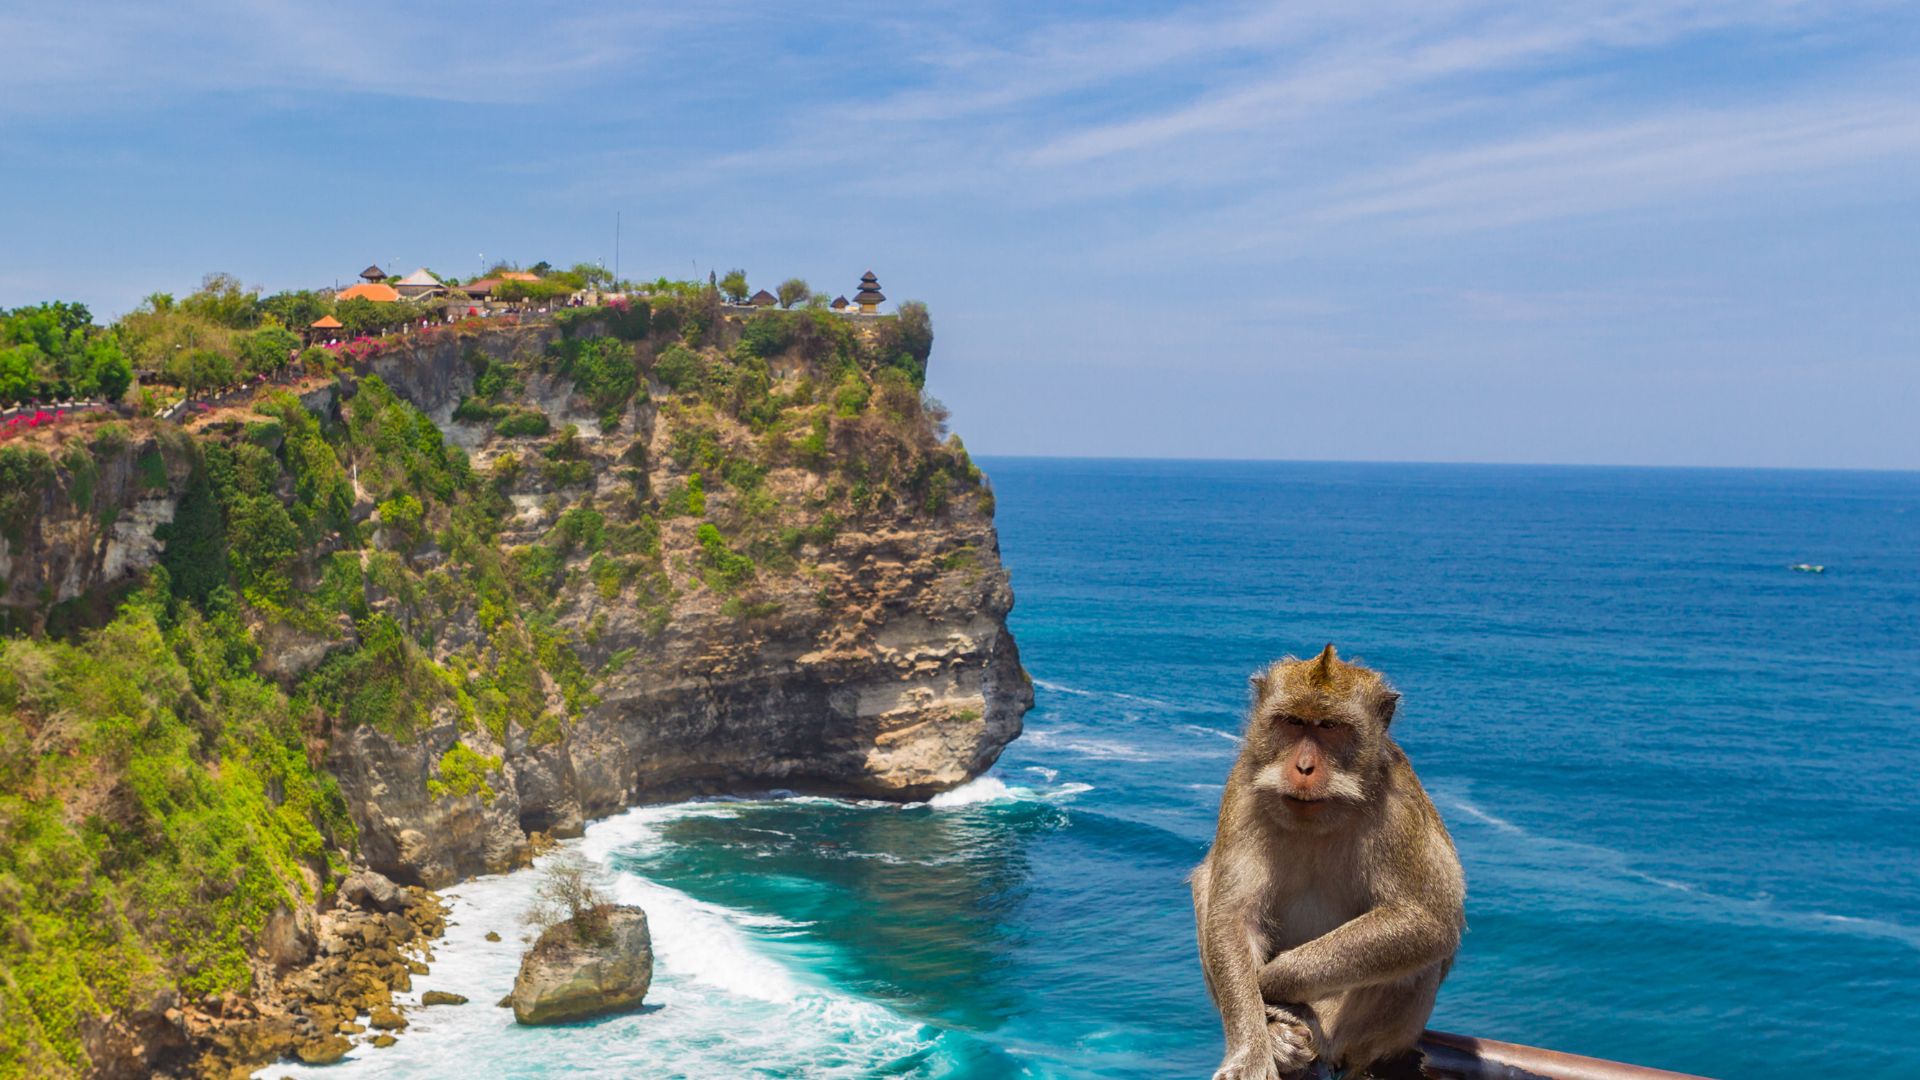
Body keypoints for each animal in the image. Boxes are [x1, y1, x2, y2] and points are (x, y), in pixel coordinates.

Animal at [1191, 645, 1465, 1080]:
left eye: (1330, 726)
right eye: (1292, 723)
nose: (1304, 768)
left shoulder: (1398, 802)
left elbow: (1425, 921)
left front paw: (1272, 980)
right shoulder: (1242, 785)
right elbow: (1232, 916)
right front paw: (1250, 1051)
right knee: (1206, 883)